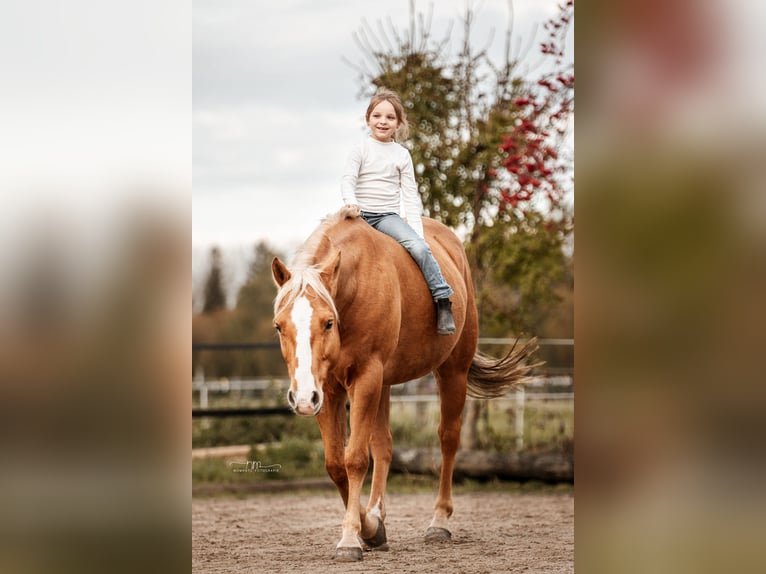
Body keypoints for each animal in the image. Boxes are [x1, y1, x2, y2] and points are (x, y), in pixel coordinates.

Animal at [271, 205, 537, 561]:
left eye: (327, 322)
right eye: (279, 326)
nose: (300, 399)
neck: (354, 286)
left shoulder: (365, 378)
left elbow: (355, 459)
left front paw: (351, 539)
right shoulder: (326, 389)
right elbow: (336, 464)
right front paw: (370, 529)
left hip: (451, 371)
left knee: (448, 439)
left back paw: (439, 522)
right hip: (382, 385)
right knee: (384, 445)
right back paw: (377, 516)